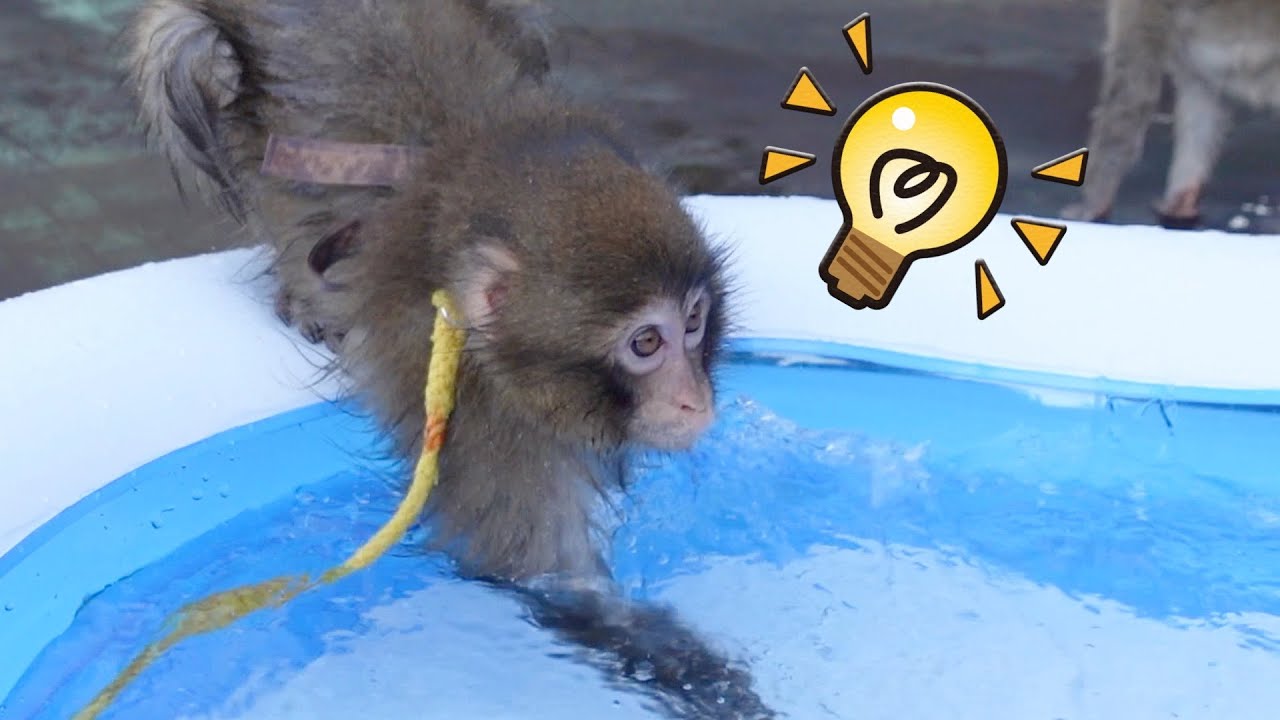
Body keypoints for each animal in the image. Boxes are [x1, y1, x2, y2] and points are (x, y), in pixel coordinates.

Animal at [125, 1, 775, 718]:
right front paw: (714, 683)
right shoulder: (478, 414)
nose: (695, 399)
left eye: (693, 323)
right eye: (646, 343)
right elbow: (550, 579)